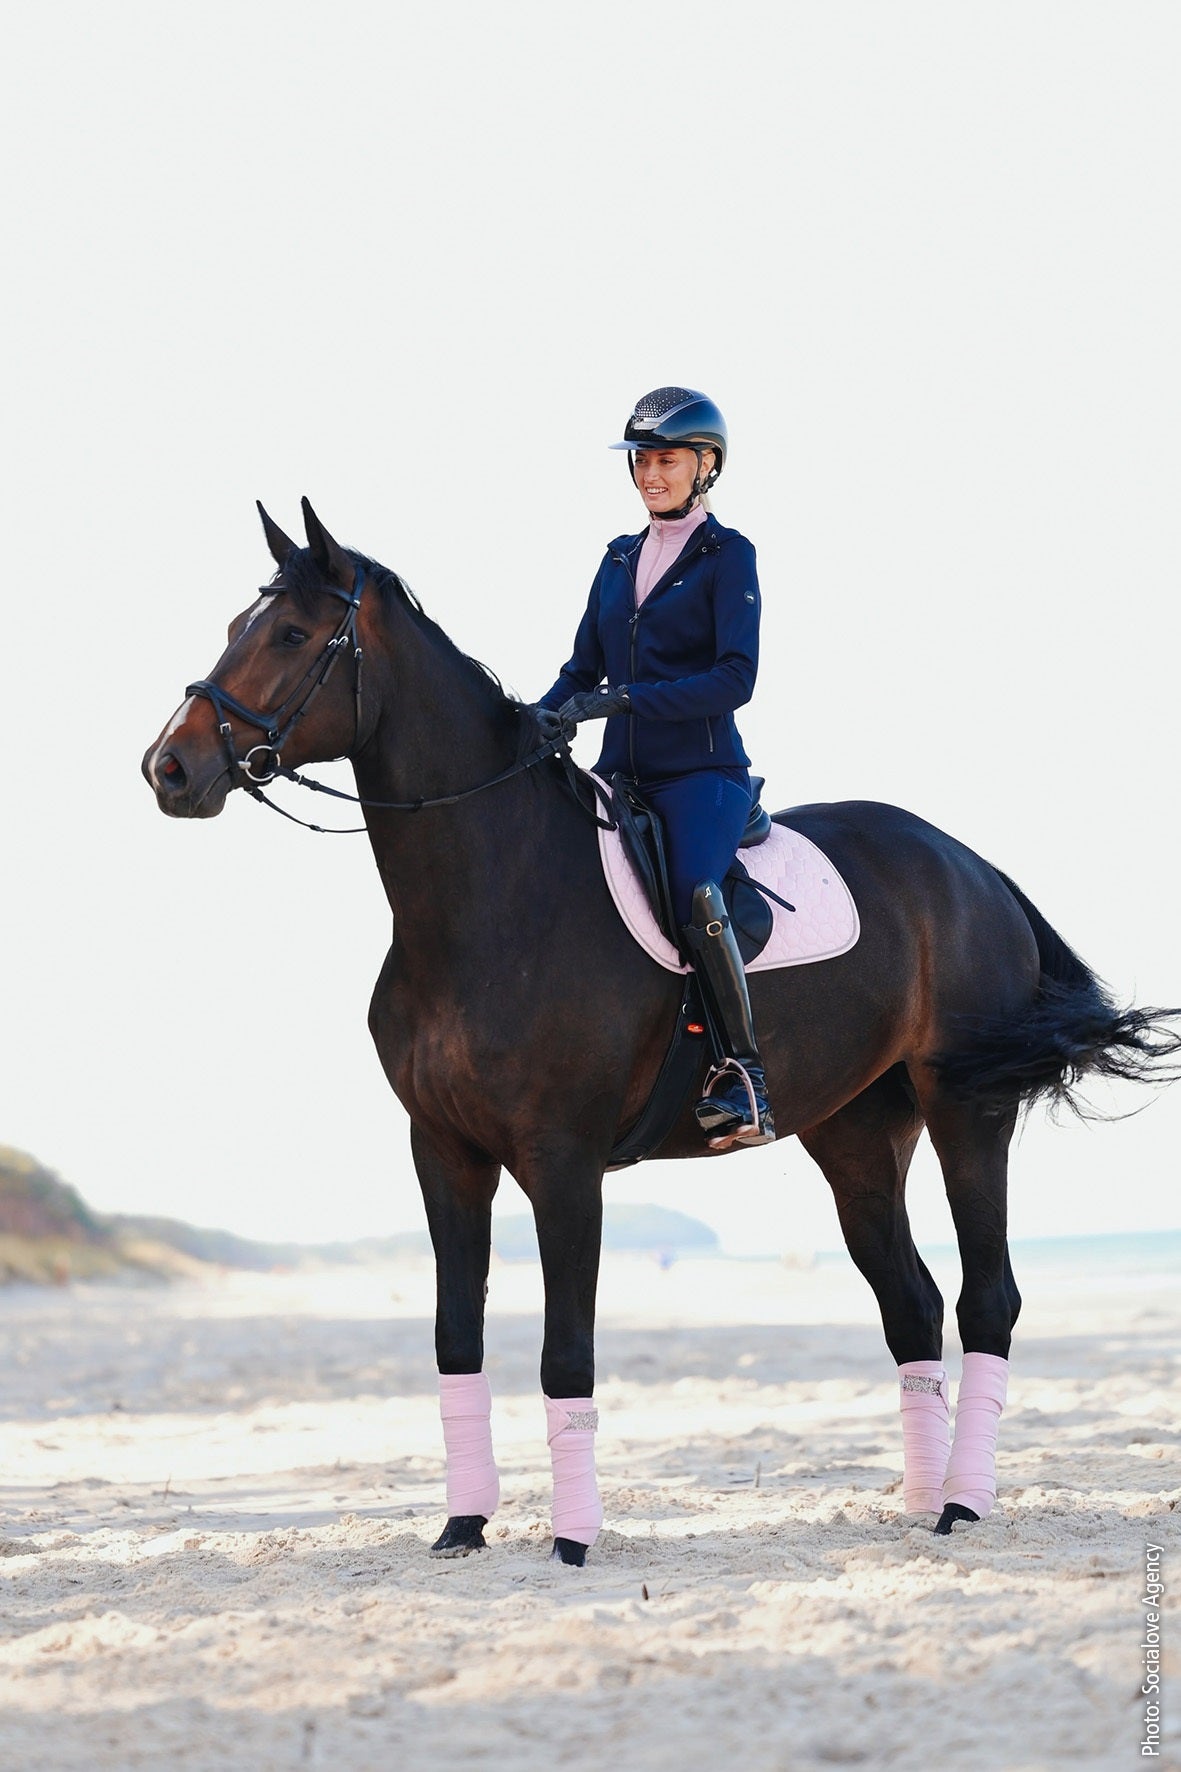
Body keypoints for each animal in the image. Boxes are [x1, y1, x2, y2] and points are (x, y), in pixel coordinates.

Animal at [142, 499, 1179, 1565]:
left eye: (291, 635)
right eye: (237, 625)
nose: (169, 767)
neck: (488, 894)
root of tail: (969, 864)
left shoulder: (561, 1160)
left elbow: (566, 1354)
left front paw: (570, 1541)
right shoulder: (443, 1153)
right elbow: (454, 1339)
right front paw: (463, 1525)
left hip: (965, 1107)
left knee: (986, 1299)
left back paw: (963, 1504)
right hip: (853, 1134)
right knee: (912, 1303)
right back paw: (919, 1499)